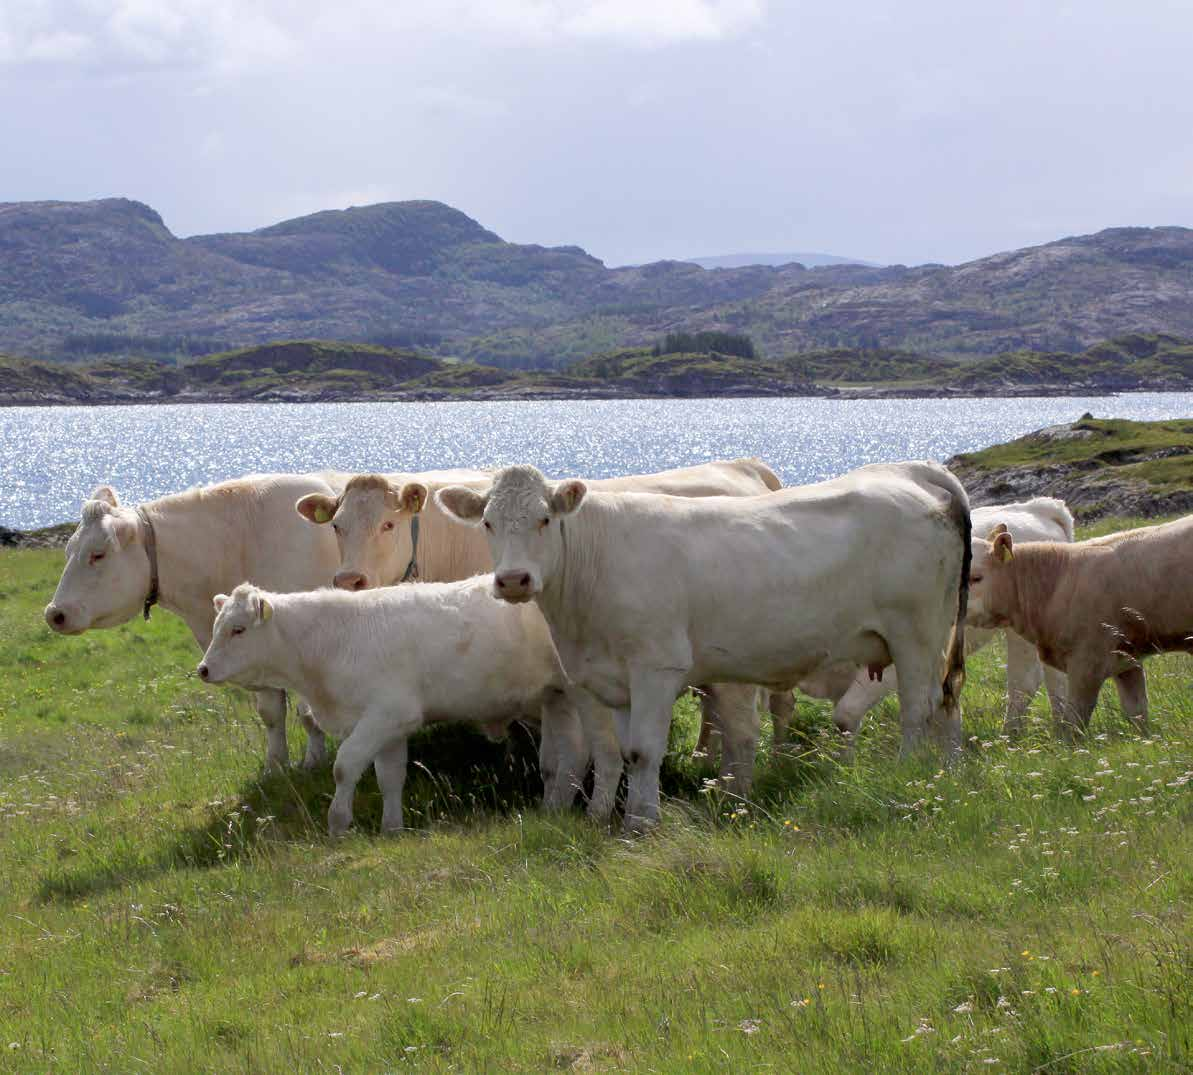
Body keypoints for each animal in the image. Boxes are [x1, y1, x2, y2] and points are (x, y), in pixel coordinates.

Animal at [42, 474, 348, 768]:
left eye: (98, 554)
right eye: (68, 552)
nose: (54, 614)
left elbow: (308, 714)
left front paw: (314, 760)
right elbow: (271, 713)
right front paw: (276, 767)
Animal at [195, 579, 567, 839]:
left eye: (238, 629)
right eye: (216, 628)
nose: (203, 669)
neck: (334, 642)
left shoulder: (386, 715)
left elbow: (344, 766)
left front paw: (338, 824)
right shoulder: (390, 728)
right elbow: (390, 777)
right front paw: (392, 829)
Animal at [439, 460, 968, 830]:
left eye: (545, 519)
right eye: (487, 523)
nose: (513, 580)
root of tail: (912, 472)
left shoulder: (657, 667)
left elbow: (643, 751)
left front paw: (641, 824)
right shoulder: (608, 678)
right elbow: (621, 752)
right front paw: (621, 818)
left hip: (914, 631)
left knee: (917, 708)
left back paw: (908, 773)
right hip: (936, 633)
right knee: (947, 699)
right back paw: (943, 775)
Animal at [787, 498, 1078, 744]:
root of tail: (1036, 507)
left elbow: (847, 714)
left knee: (1023, 682)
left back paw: (1011, 737)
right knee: (1055, 677)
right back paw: (1061, 728)